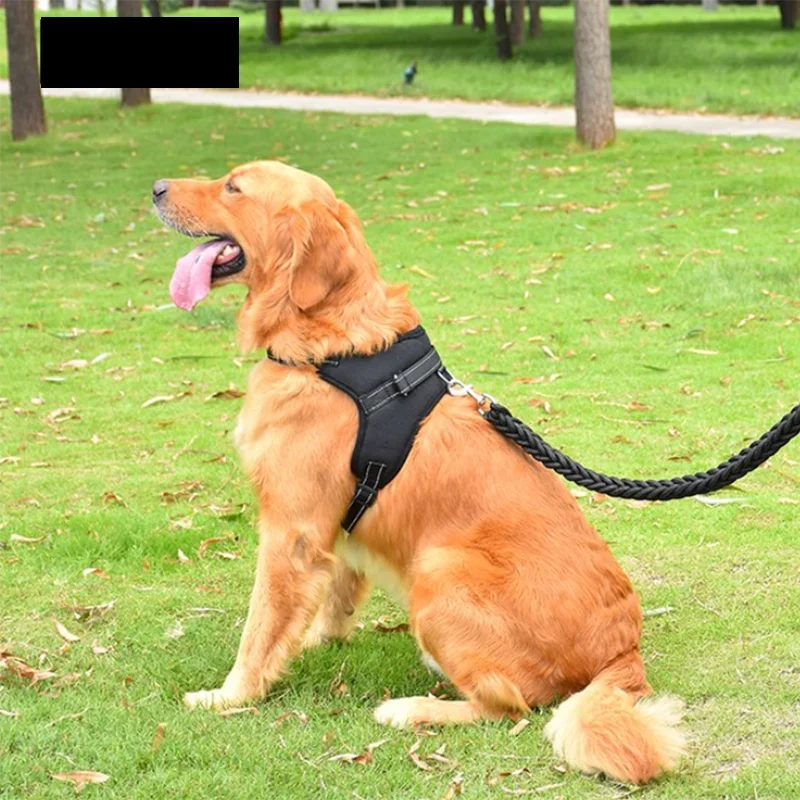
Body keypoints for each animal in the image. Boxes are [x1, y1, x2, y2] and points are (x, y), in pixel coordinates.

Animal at [153, 159, 684, 784]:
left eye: (234, 187)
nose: (157, 188)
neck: (331, 345)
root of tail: (623, 652)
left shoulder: (291, 530)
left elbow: (259, 627)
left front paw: (231, 695)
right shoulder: (336, 526)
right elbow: (327, 598)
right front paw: (310, 641)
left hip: (438, 572)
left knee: (510, 704)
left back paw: (413, 709)